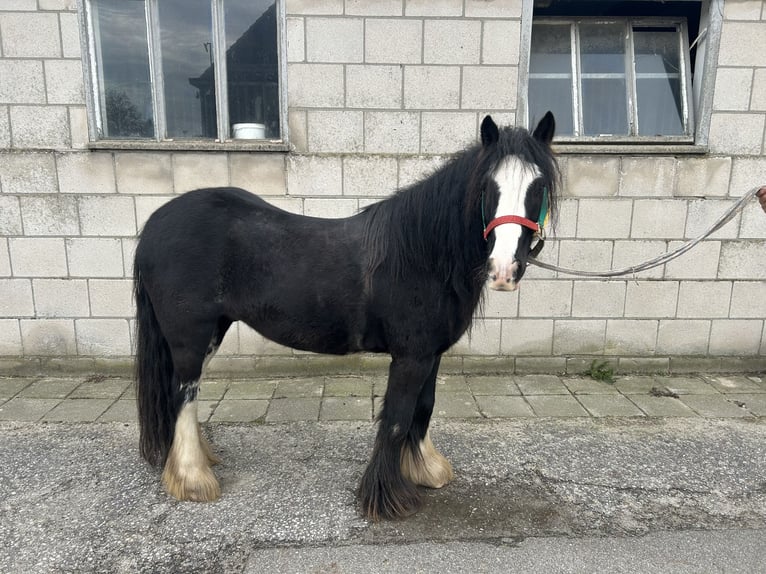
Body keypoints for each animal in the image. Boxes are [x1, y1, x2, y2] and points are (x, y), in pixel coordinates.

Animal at [133, 113, 559, 520]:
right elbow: (397, 418)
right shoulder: (410, 358)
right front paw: (387, 499)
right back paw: (193, 478)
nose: (504, 270)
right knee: (183, 395)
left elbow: (423, 408)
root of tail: (155, 224)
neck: (423, 253)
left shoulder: (430, 354)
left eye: (537, 187)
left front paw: (426, 471)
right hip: (190, 337)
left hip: (211, 333)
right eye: (488, 186)